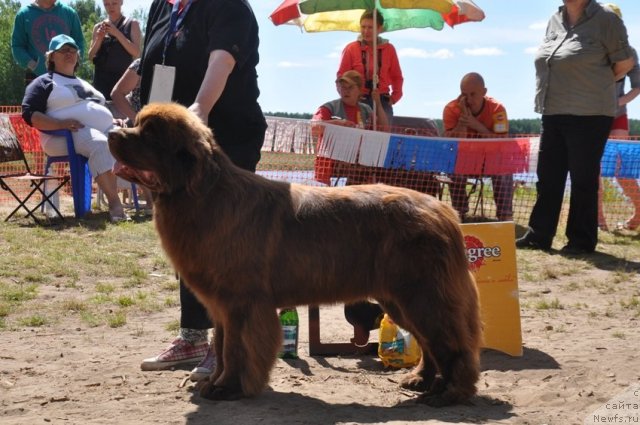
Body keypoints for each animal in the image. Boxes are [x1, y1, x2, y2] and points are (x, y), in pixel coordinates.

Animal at [109, 102, 480, 404]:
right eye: (137, 123)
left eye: (150, 134)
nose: (113, 131)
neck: (202, 194)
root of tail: (443, 211)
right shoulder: (220, 306)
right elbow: (222, 346)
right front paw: (215, 382)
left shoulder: (240, 303)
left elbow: (236, 348)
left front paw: (227, 388)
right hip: (400, 299)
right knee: (429, 343)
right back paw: (420, 380)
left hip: (422, 294)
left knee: (452, 342)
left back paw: (450, 393)